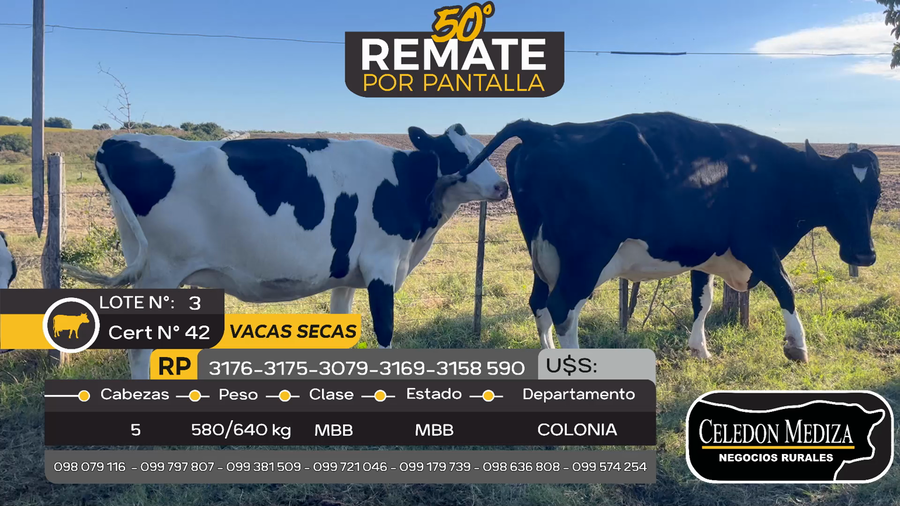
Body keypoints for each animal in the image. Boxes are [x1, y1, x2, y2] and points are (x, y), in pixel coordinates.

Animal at [63, 124, 508, 379]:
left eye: (481, 147)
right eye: (458, 154)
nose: (502, 185)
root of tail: (115, 142)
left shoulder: (347, 275)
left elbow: (344, 329)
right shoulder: (382, 265)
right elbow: (384, 334)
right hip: (159, 276)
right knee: (139, 348)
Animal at [462, 112, 881, 362]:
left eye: (875, 195)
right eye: (839, 192)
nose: (864, 256)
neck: (769, 174)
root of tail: (545, 129)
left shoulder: (706, 253)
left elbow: (703, 301)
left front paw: (700, 350)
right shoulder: (755, 244)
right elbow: (786, 287)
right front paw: (798, 347)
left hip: (542, 255)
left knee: (540, 304)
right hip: (587, 256)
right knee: (563, 308)